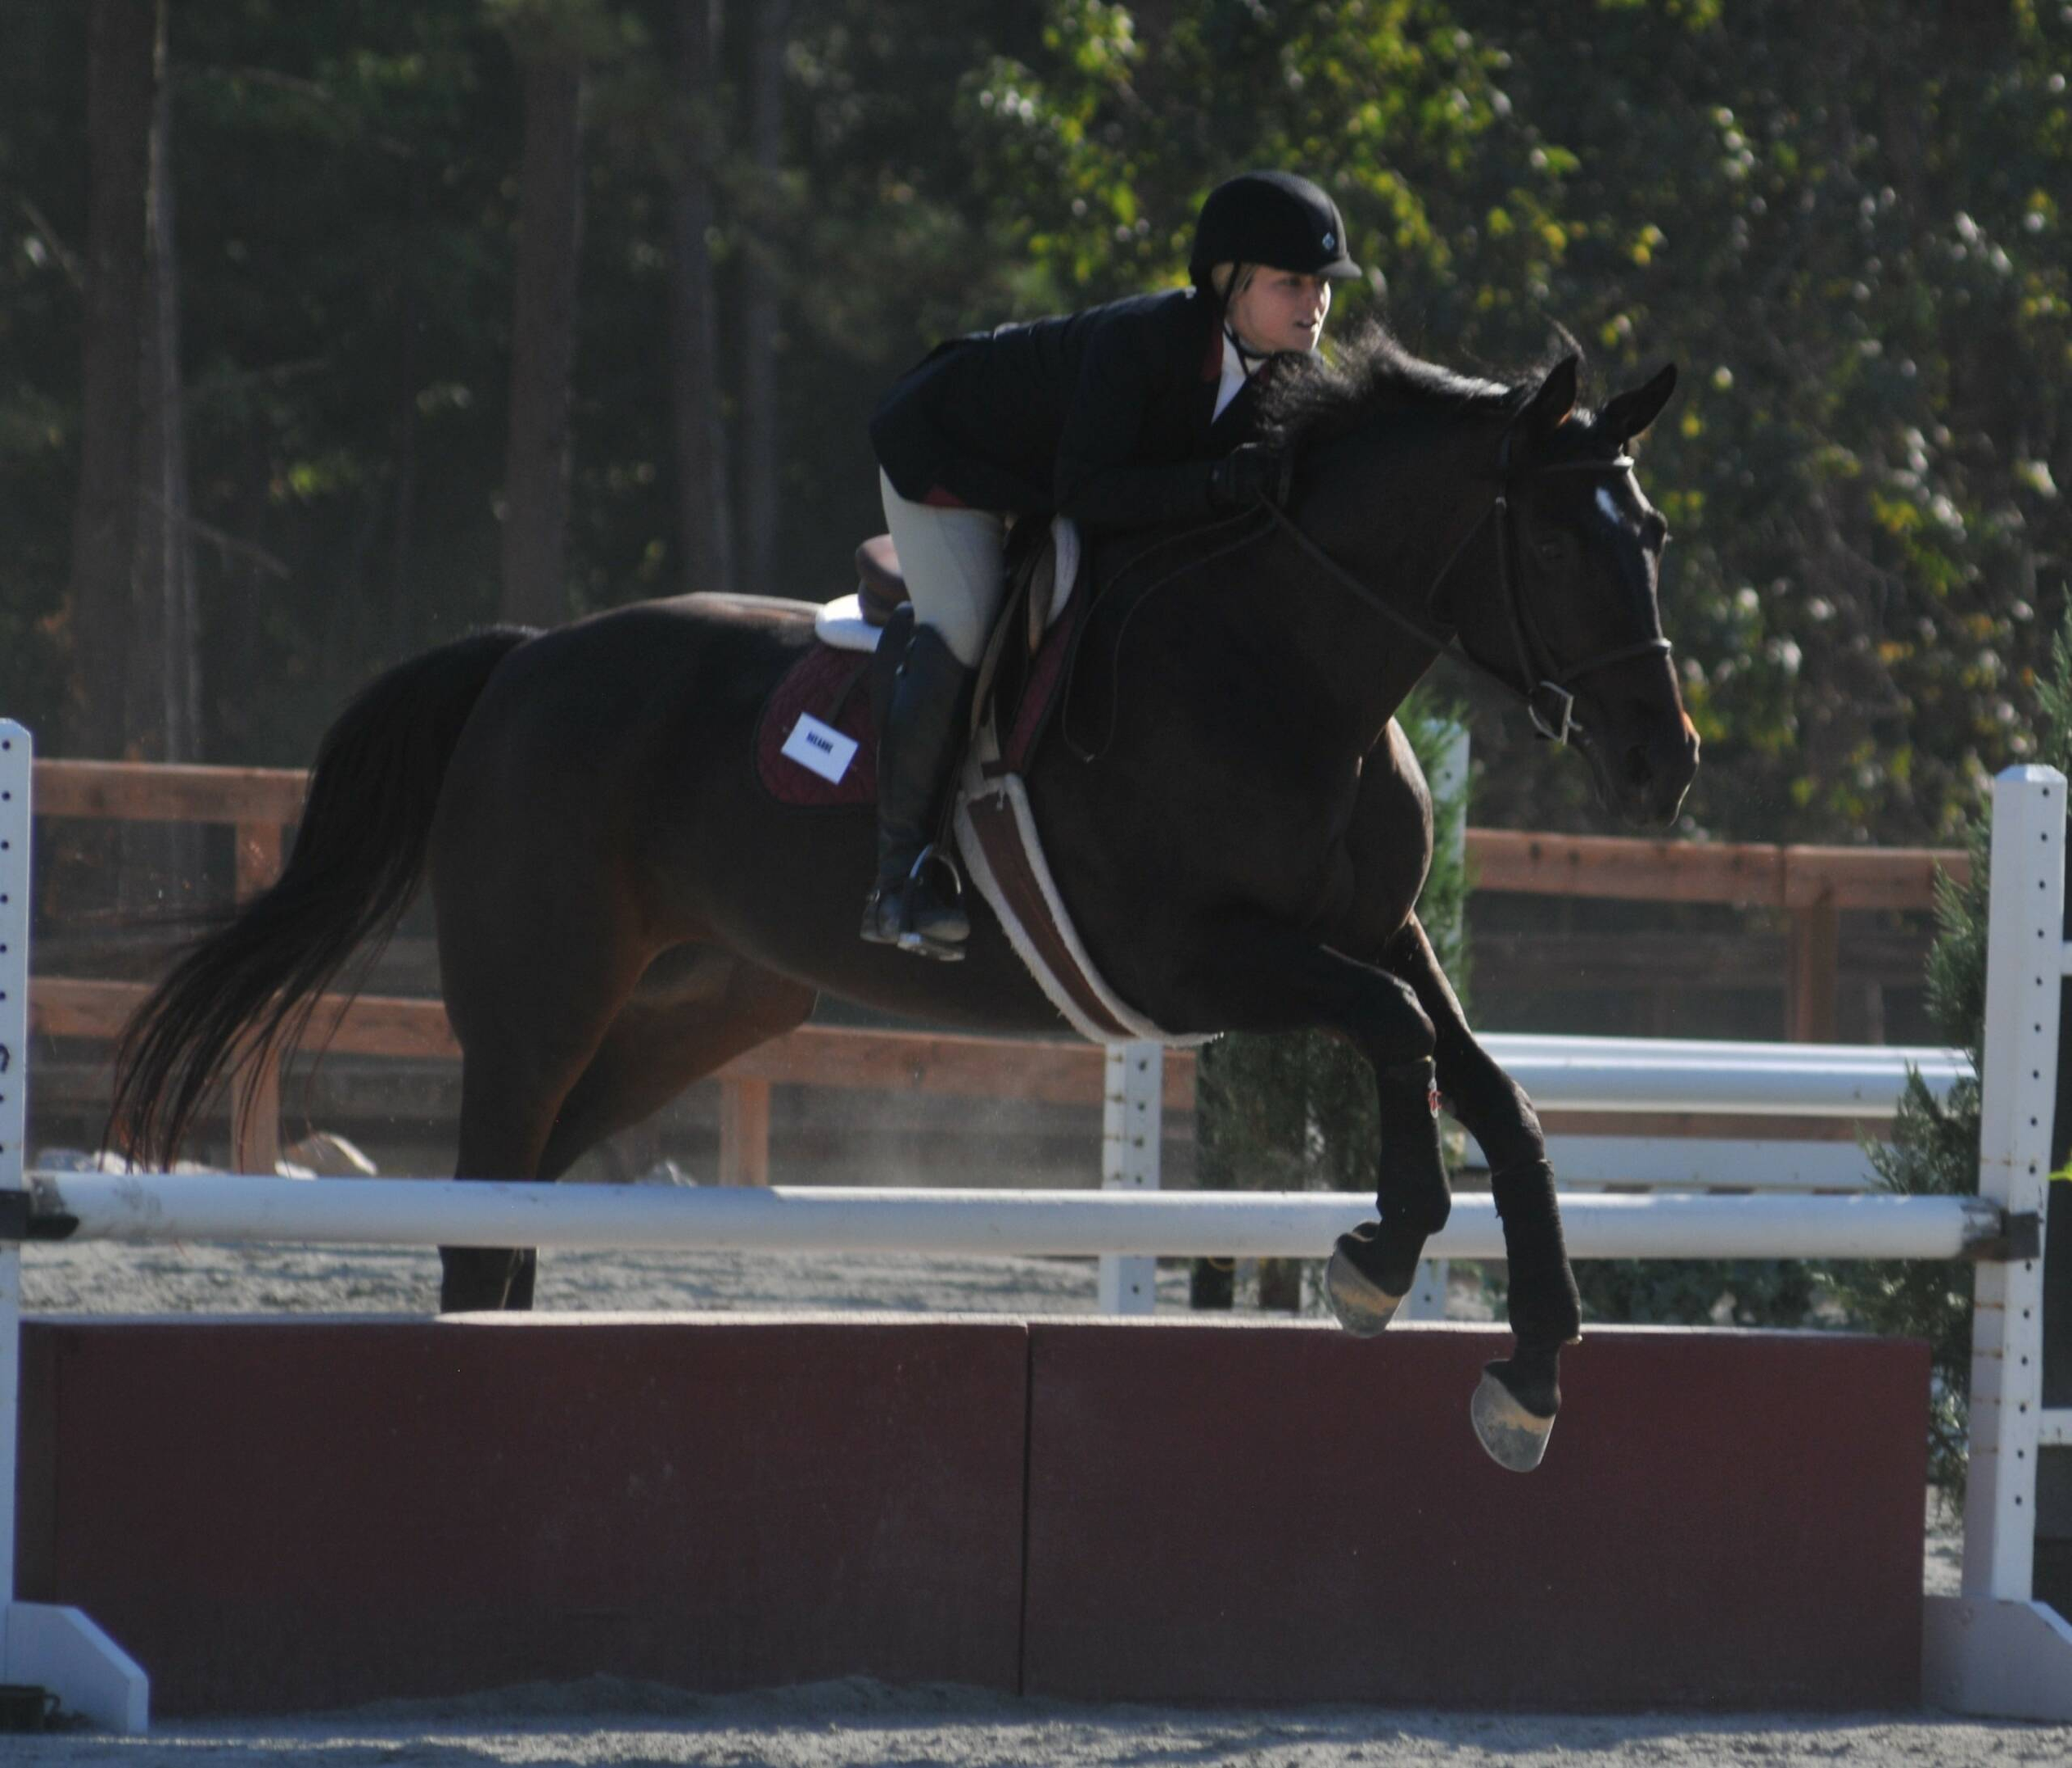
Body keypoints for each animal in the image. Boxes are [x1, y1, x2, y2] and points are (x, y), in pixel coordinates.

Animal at [113, 323, 1691, 1467]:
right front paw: (1375, 1257)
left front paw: (1529, 1375)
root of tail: (522, 659)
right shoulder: (1193, 960)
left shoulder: (1379, 932)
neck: (1287, 667)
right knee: (478, 1212)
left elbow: (1493, 1092)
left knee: (520, 1205)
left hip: (700, 1008)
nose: (1663, 762)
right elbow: (1398, 1039)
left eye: (1653, 534)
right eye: (1561, 542)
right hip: (533, 1006)